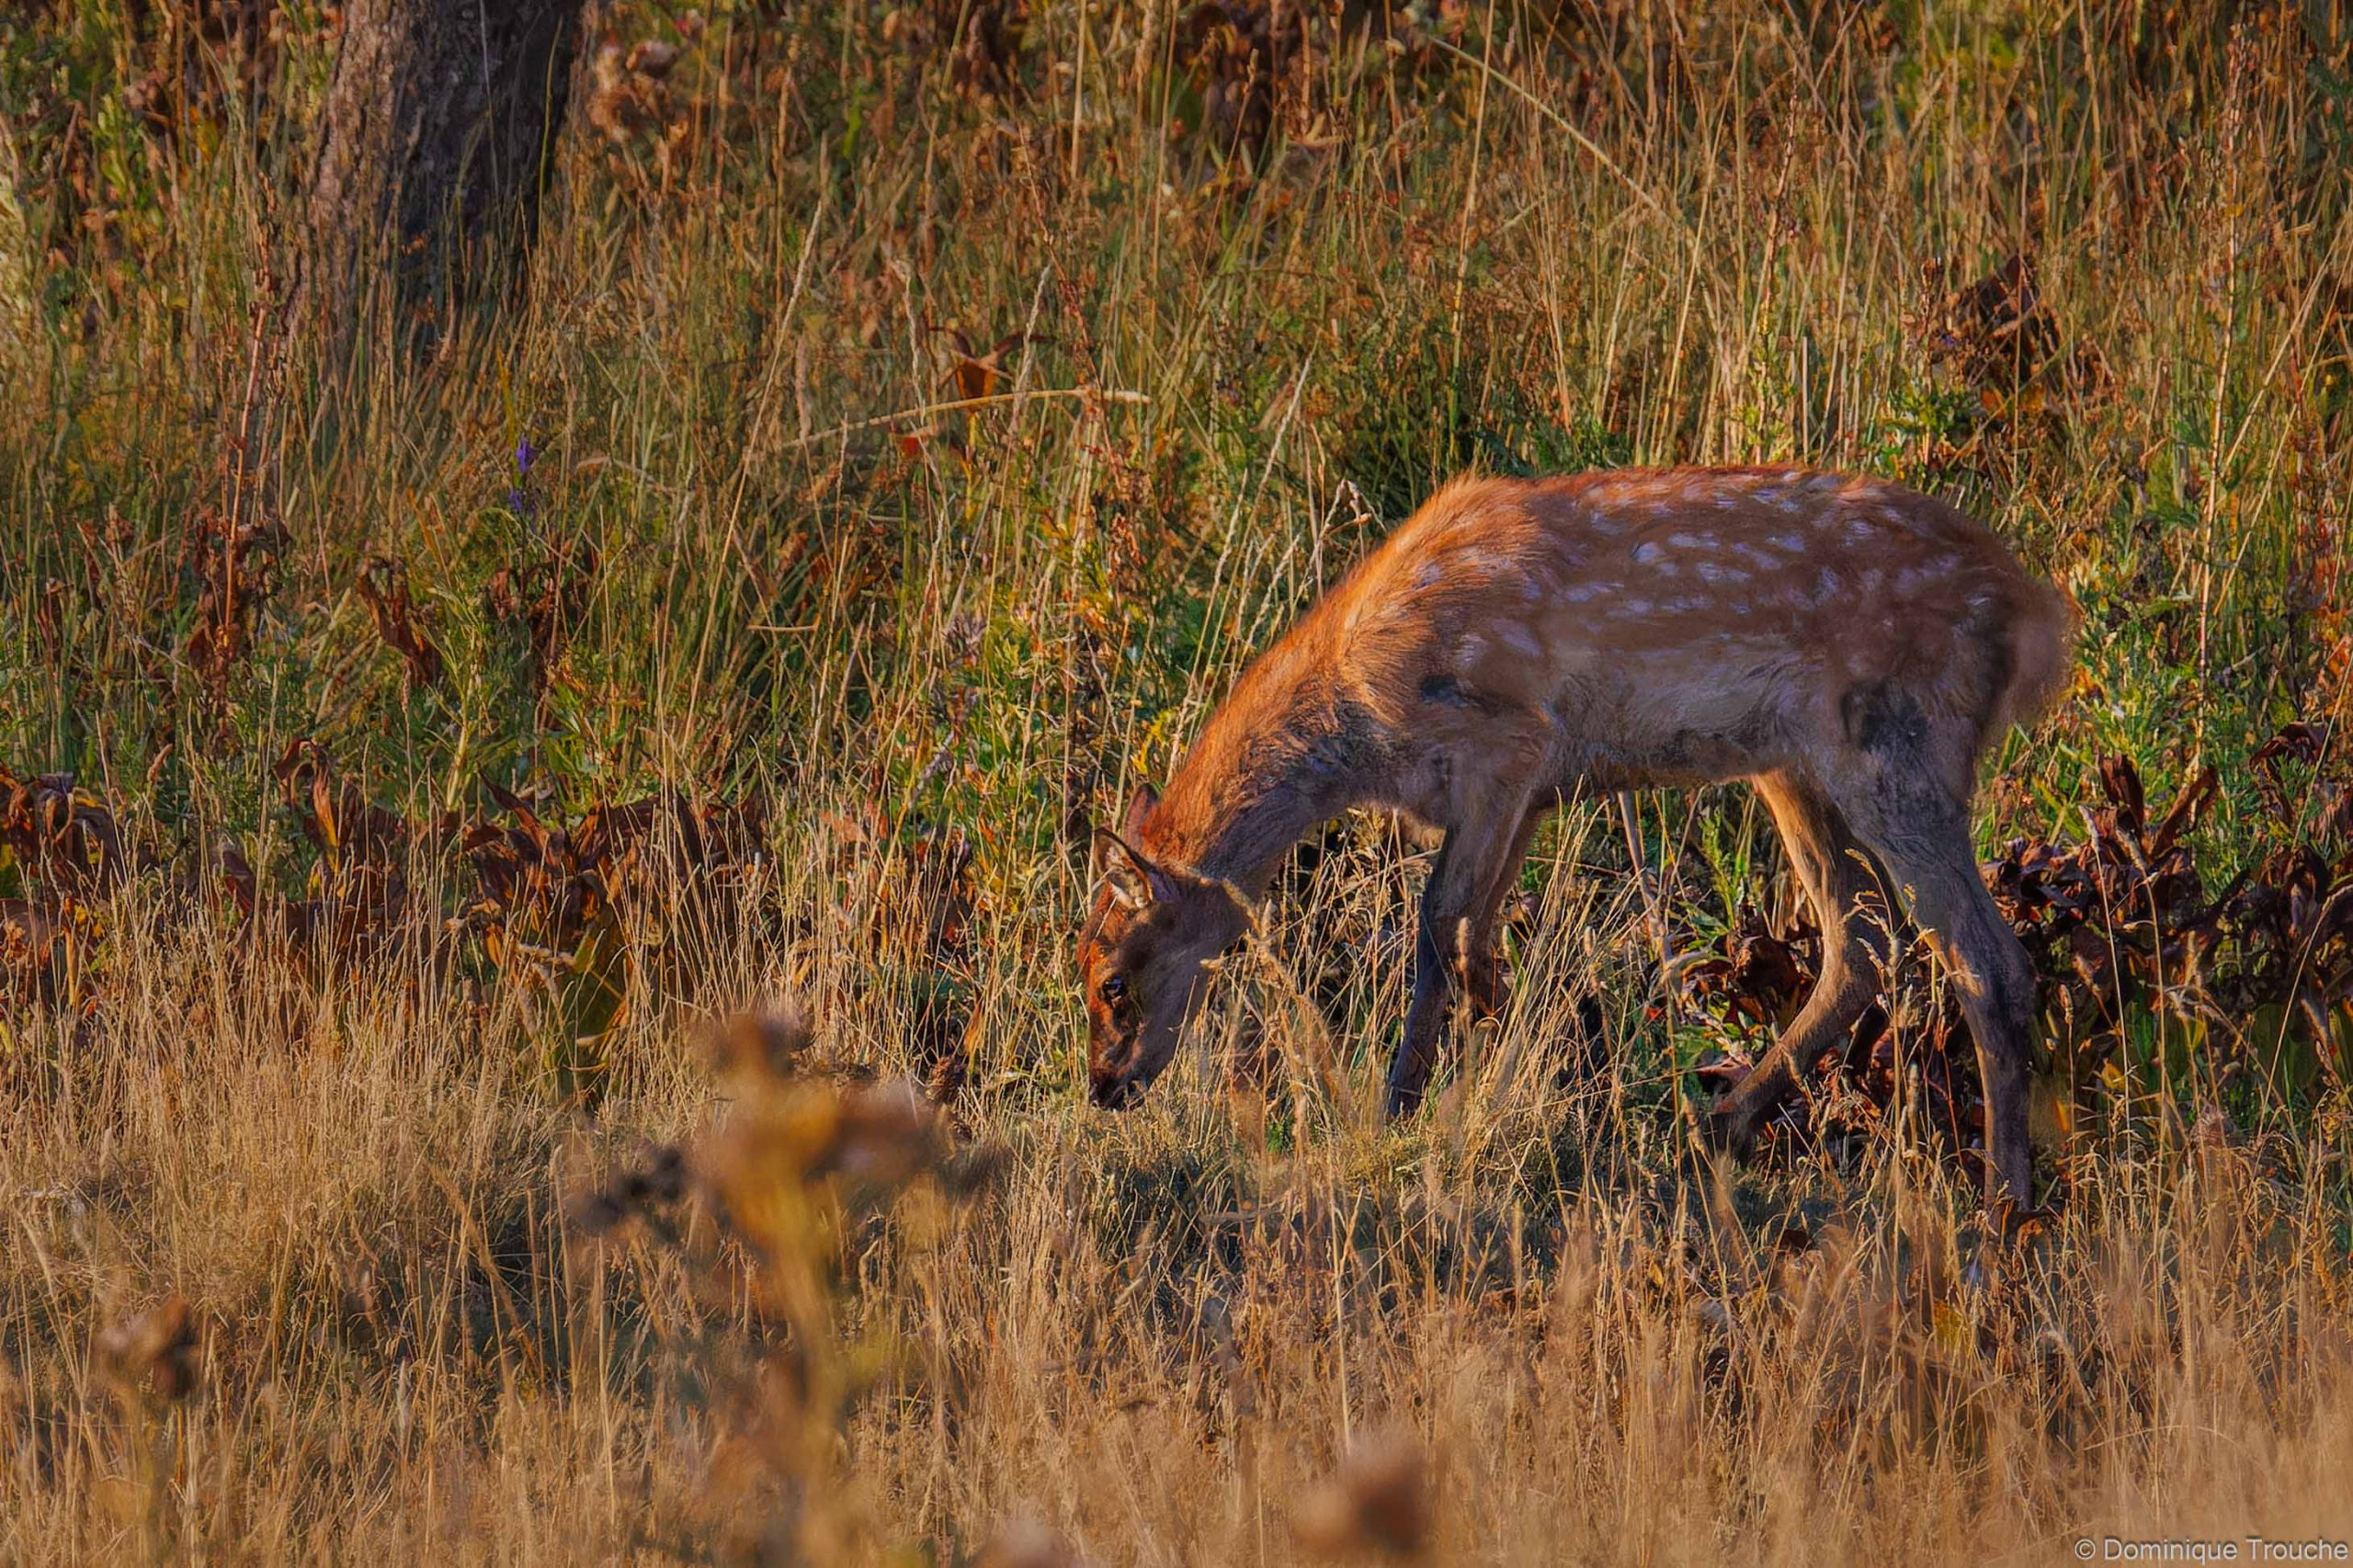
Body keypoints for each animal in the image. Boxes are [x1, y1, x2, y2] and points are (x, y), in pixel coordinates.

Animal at [1076, 467, 2074, 1209]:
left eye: (1113, 981)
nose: (1104, 1086)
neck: (1355, 723)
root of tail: (2031, 614)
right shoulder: (1533, 793)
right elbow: (1477, 942)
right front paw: (1504, 1089)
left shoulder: (1505, 744)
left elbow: (1436, 931)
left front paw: (1398, 1113)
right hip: (1790, 761)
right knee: (1862, 936)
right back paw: (1718, 1126)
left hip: (1897, 742)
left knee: (1984, 957)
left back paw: (2003, 1199)